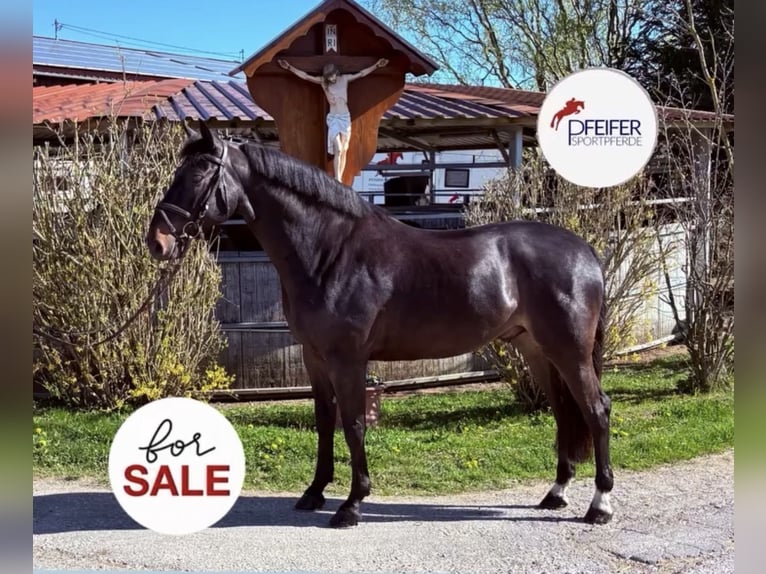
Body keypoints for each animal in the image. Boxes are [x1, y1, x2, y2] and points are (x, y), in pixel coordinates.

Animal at [146, 122, 615, 528]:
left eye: (199, 173)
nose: (158, 242)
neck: (330, 251)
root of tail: (585, 252)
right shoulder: (315, 358)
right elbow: (325, 421)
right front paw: (314, 492)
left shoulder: (348, 359)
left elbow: (353, 424)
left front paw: (352, 504)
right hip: (538, 350)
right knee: (564, 413)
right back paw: (556, 493)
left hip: (569, 351)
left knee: (596, 410)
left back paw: (600, 505)